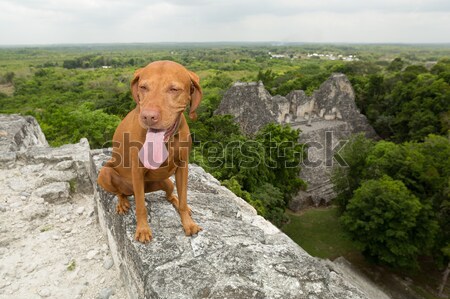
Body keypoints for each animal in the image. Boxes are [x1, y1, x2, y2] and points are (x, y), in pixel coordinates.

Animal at [98, 61, 204, 244]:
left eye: (174, 89)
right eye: (143, 87)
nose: (148, 117)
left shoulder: (183, 167)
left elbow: (184, 199)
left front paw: (188, 223)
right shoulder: (137, 170)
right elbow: (141, 206)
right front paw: (142, 229)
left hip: (166, 182)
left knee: (170, 194)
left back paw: (175, 201)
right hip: (105, 173)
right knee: (120, 192)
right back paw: (122, 201)